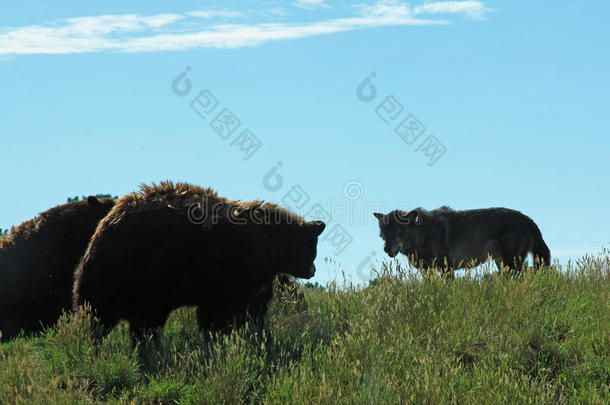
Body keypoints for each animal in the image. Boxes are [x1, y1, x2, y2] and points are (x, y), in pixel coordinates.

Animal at [72, 181, 324, 338]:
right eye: (311, 250)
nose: (312, 270)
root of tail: (104, 225)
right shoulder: (228, 270)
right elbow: (217, 315)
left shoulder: (257, 281)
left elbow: (254, 313)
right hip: (135, 277)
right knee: (105, 318)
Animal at [372, 205, 548, 278]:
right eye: (382, 235)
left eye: (398, 232)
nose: (386, 249)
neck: (424, 233)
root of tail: (529, 220)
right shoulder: (427, 270)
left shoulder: (446, 267)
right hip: (502, 264)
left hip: (511, 264)